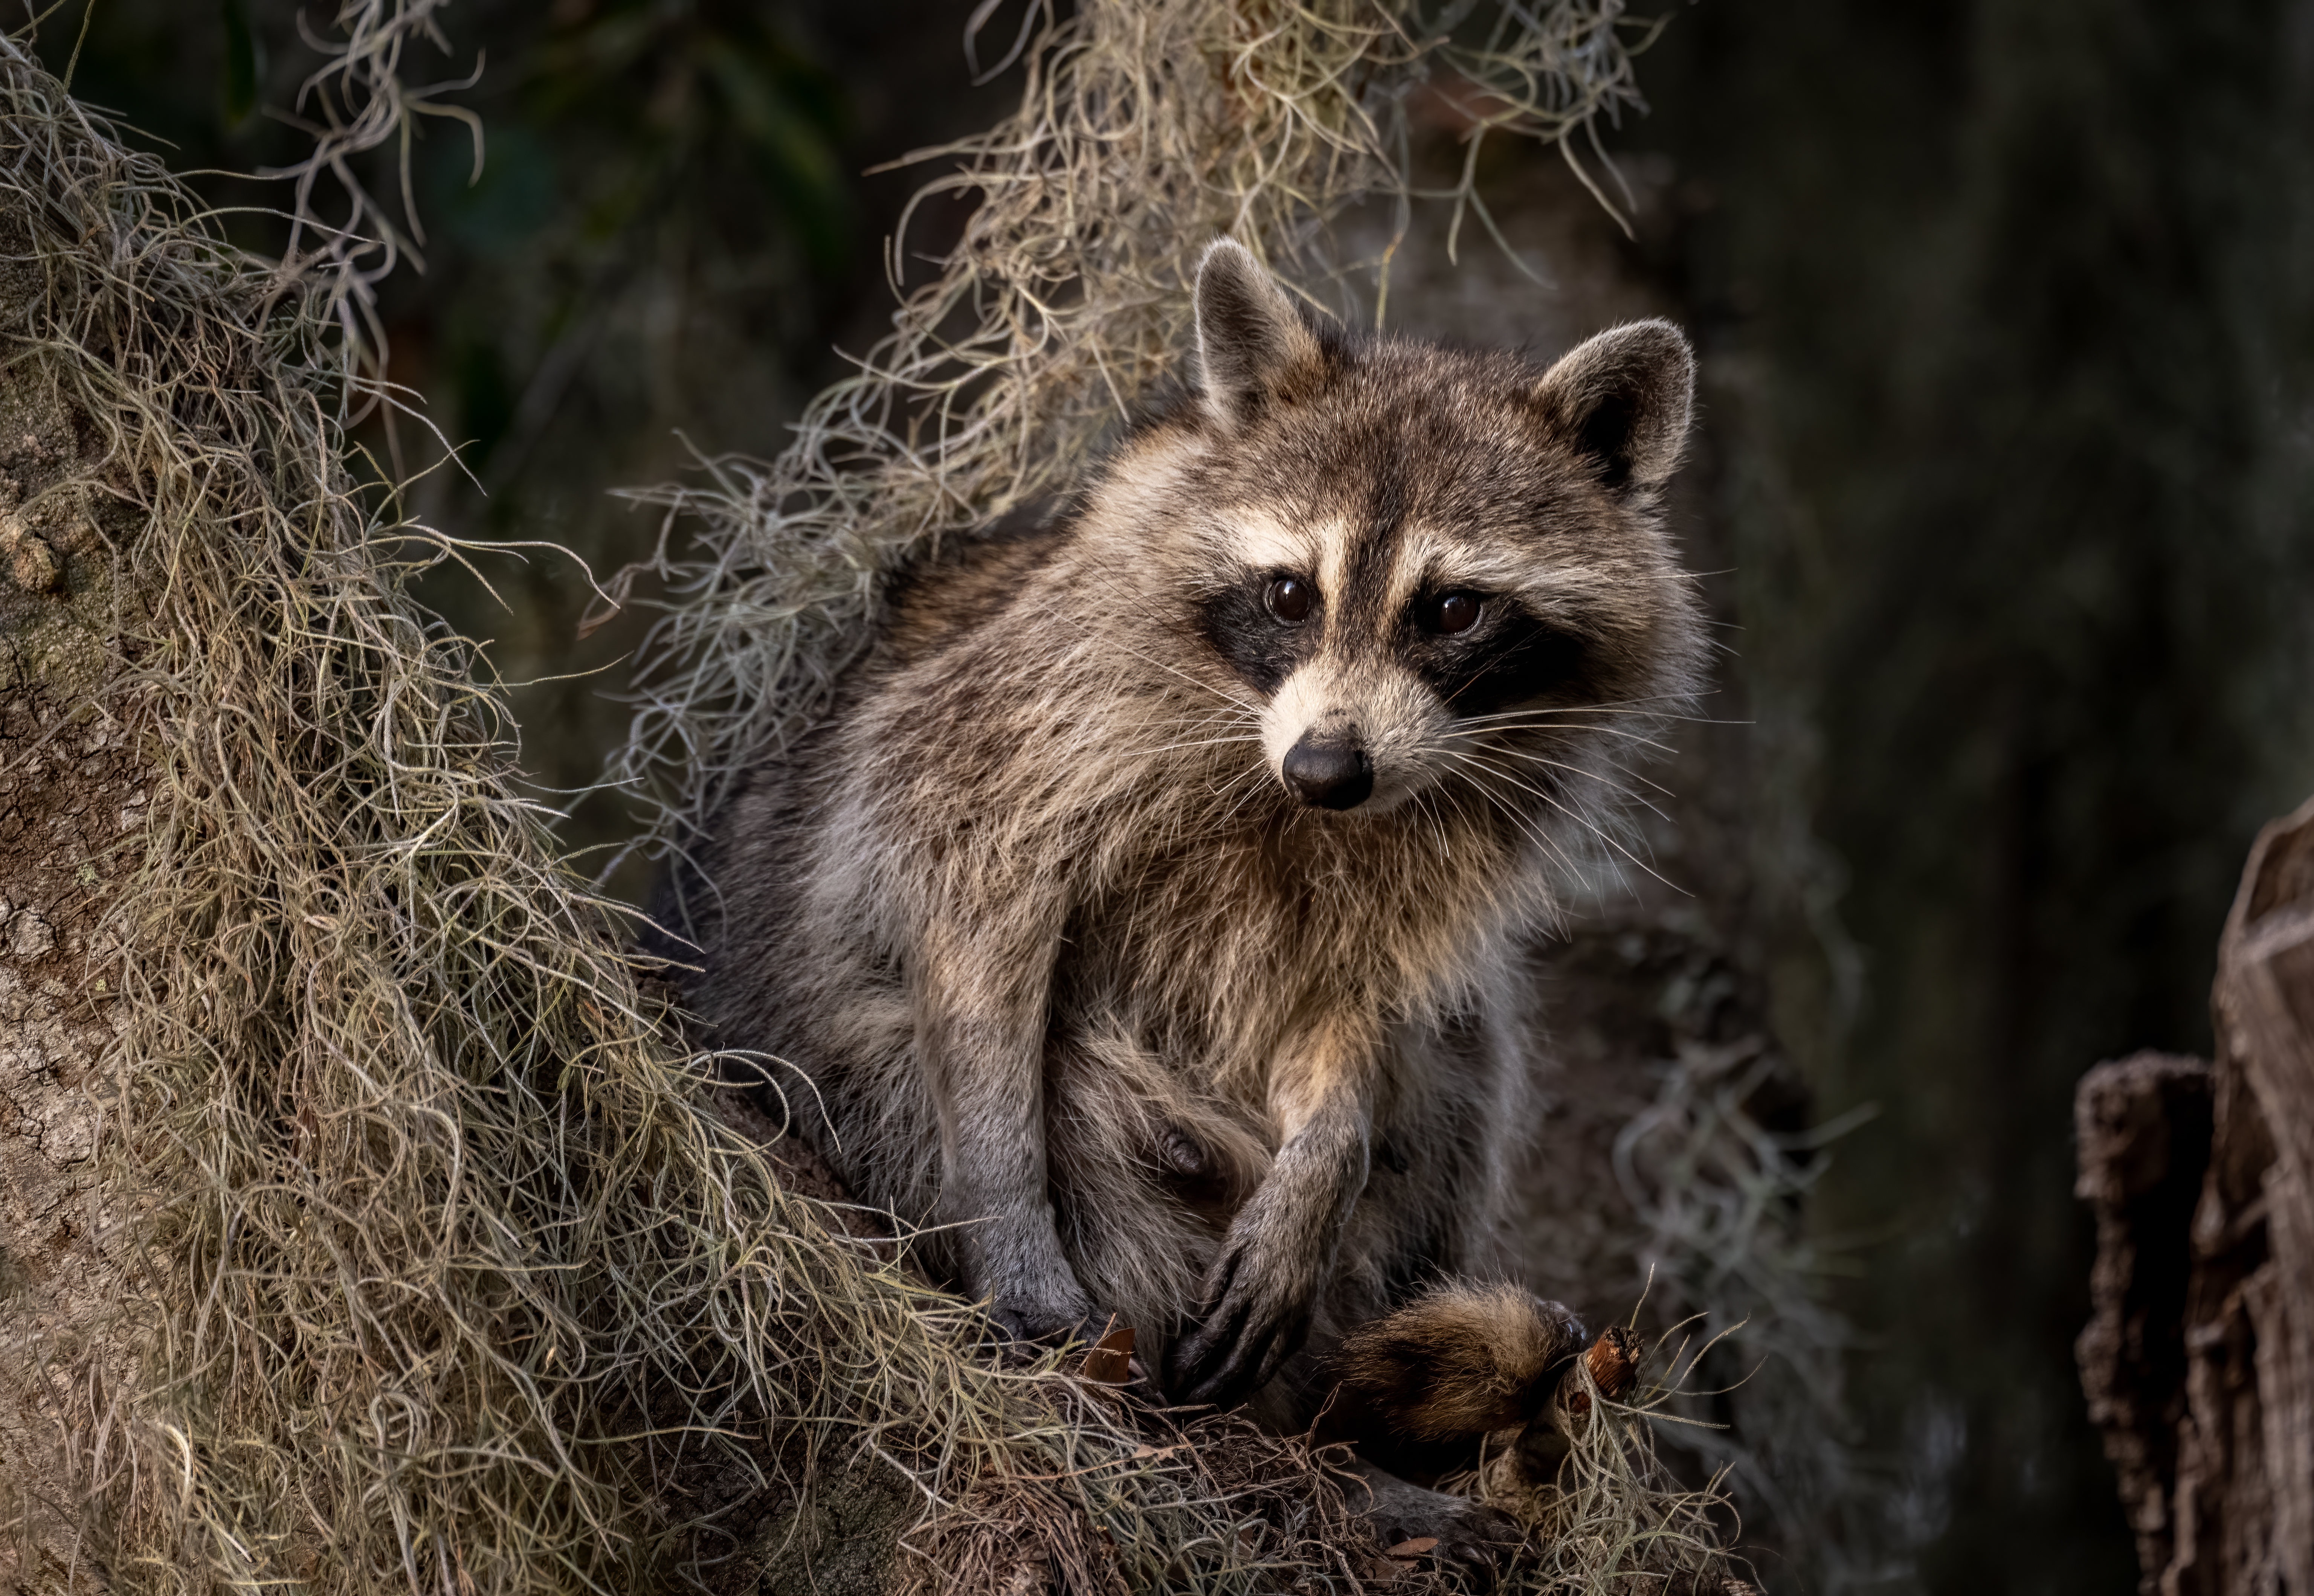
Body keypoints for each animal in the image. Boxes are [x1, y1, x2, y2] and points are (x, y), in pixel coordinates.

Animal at [660, 239, 1705, 1565]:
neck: (1288, 785)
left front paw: (1322, 1159)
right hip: (852, 1081)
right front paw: (1006, 1213)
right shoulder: (1021, 719)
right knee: (1058, 1113)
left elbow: (1352, 1010)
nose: (1327, 767)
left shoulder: (1424, 851)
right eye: (1289, 593)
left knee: (1463, 1059)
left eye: (1454, 607)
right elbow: (969, 910)